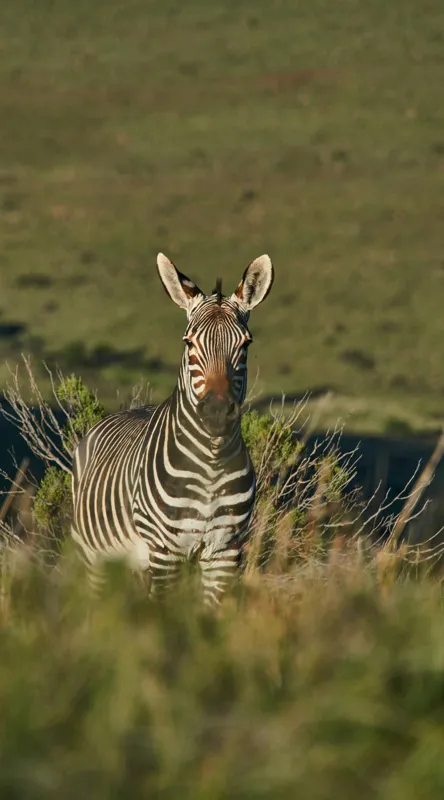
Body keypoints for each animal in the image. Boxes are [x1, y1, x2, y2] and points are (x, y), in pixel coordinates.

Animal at [71, 252, 274, 604]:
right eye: (189, 343)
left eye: (245, 344)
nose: (217, 412)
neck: (212, 463)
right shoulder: (167, 551)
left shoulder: (225, 551)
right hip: (94, 556)